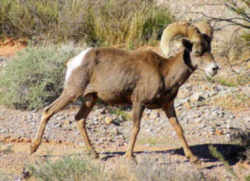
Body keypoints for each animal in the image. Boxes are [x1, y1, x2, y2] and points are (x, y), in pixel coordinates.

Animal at [30, 21, 219, 163]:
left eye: (210, 50)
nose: (215, 68)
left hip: (90, 99)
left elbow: (179, 129)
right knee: (48, 111)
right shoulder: (139, 103)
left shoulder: (168, 106)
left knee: (79, 119)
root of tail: (74, 61)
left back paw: (95, 154)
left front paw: (193, 158)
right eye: (197, 51)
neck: (164, 72)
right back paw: (33, 148)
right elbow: (136, 128)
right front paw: (129, 156)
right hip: (72, 93)